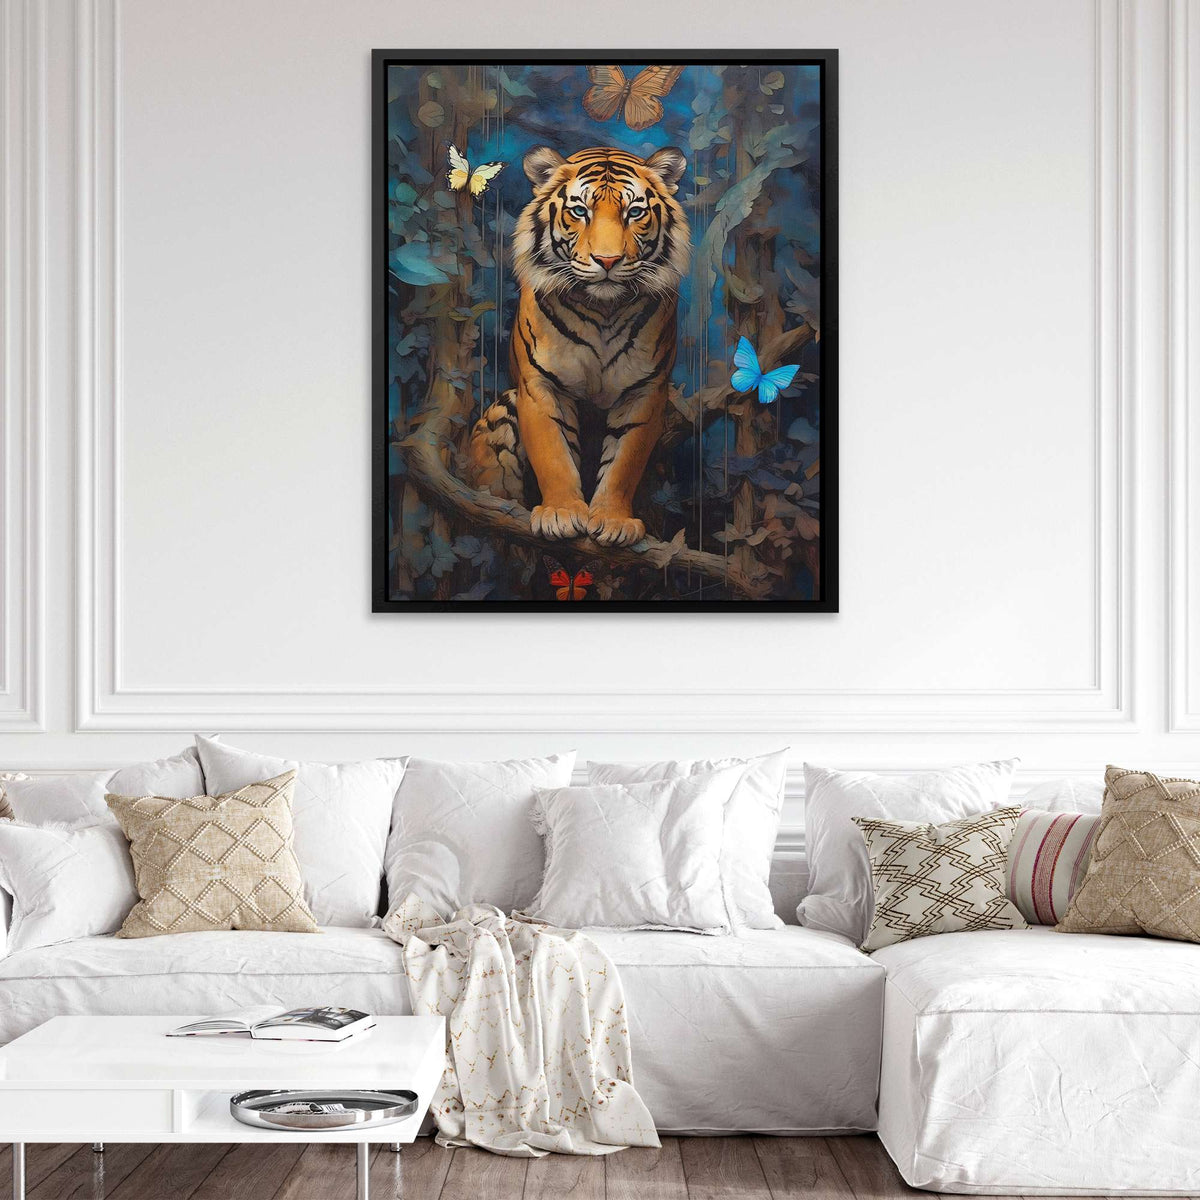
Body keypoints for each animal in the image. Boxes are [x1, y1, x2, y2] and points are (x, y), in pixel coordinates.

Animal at [508, 144, 690, 546]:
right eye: (580, 211)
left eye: (634, 212)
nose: (607, 260)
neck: (603, 310)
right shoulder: (540, 386)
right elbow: (553, 454)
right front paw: (560, 514)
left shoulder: (645, 391)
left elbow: (624, 462)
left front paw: (613, 521)